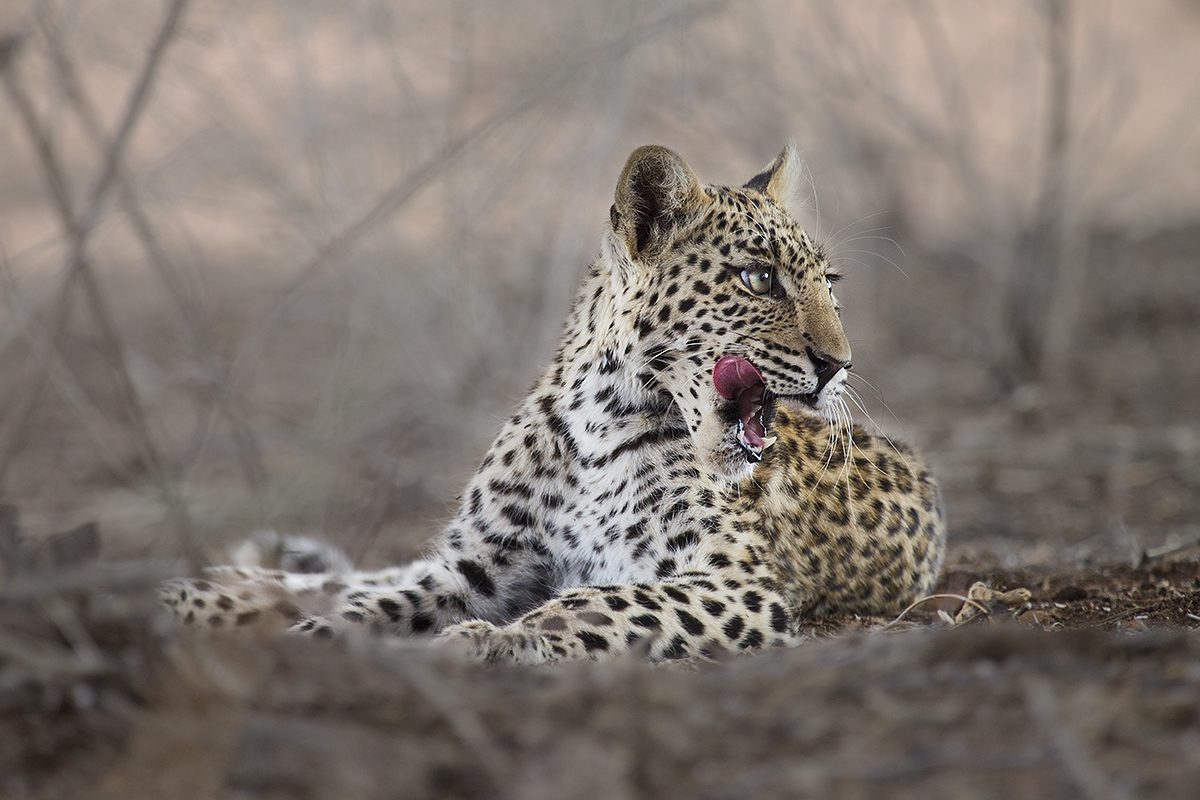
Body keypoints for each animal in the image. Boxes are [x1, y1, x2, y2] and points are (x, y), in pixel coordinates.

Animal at [161, 144, 946, 665]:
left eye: (829, 283)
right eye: (759, 280)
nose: (840, 365)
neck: (602, 418)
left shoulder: (735, 580)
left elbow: (598, 601)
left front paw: (498, 640)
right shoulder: (476, 567)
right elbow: (372, 606)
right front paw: (304, 639)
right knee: (354, 576)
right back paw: (196, 594)